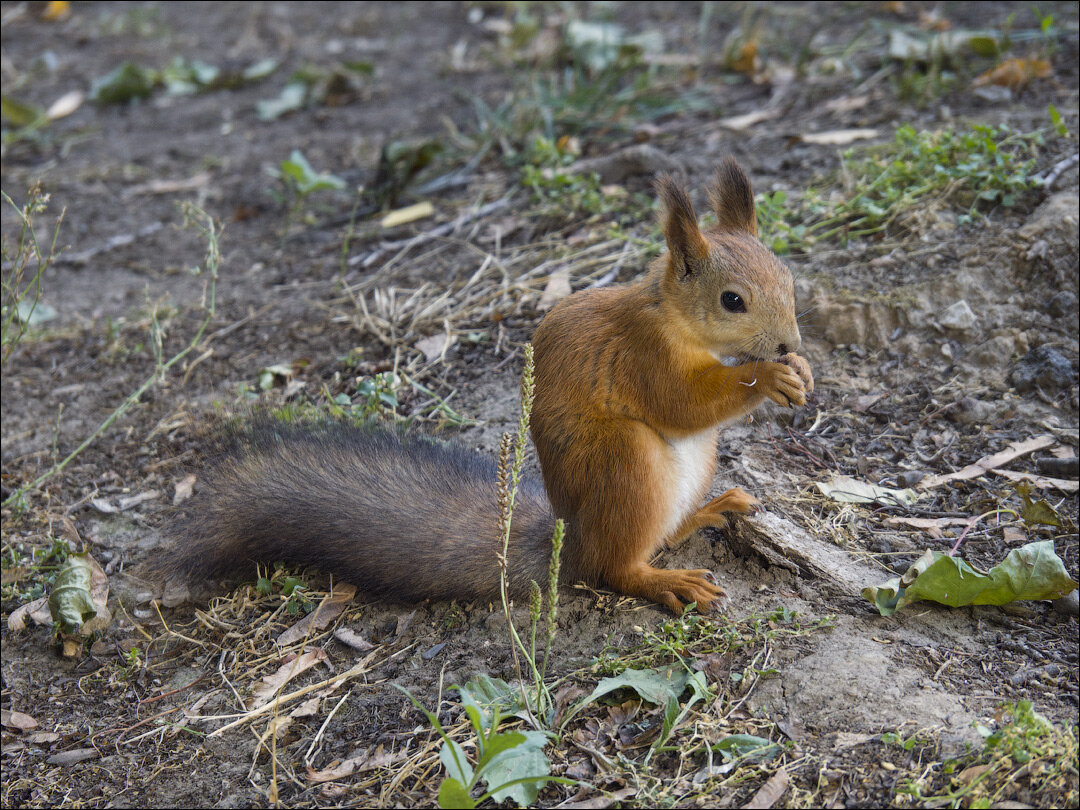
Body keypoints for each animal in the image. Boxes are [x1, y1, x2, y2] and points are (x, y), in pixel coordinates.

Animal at [150, 158, 812, 613]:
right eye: (732, 301)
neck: (673, 317)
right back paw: (665, 580)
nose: (789, 344)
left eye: (788, 277)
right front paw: (769, 376)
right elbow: (681, 401)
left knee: (663, 535)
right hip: (626, 464)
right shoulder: (639, 357)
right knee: (615, 569)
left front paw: (797, 371)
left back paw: (710, 511)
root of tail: (569, 545)